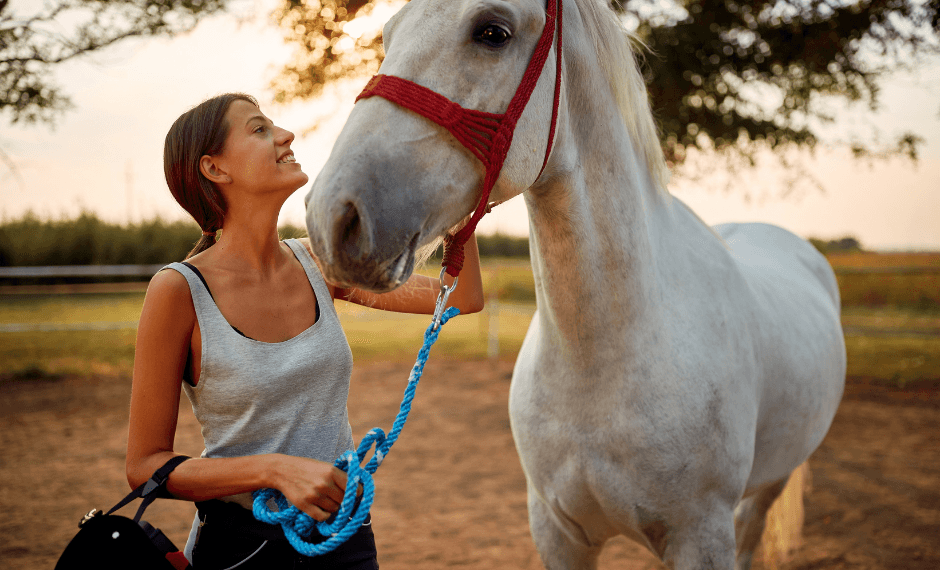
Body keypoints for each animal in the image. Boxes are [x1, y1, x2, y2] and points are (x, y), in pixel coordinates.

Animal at [302, 0, 847, 567]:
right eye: (388, 35)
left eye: (492, 32)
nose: (332, 216)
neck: (604, 355)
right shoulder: (557, 531)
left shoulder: (701, 536)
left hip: (769, 487)